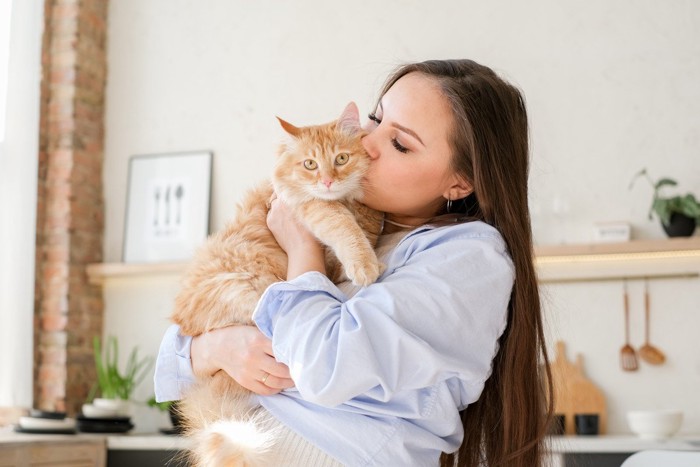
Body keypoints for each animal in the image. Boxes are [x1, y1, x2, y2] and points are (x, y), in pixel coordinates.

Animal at [172, 103, 386, 467]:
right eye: (310, 164)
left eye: (341, 159)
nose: (328, 181)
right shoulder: (309, 206)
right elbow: (343, 226)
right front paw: (365, 265)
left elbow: (366, 227)